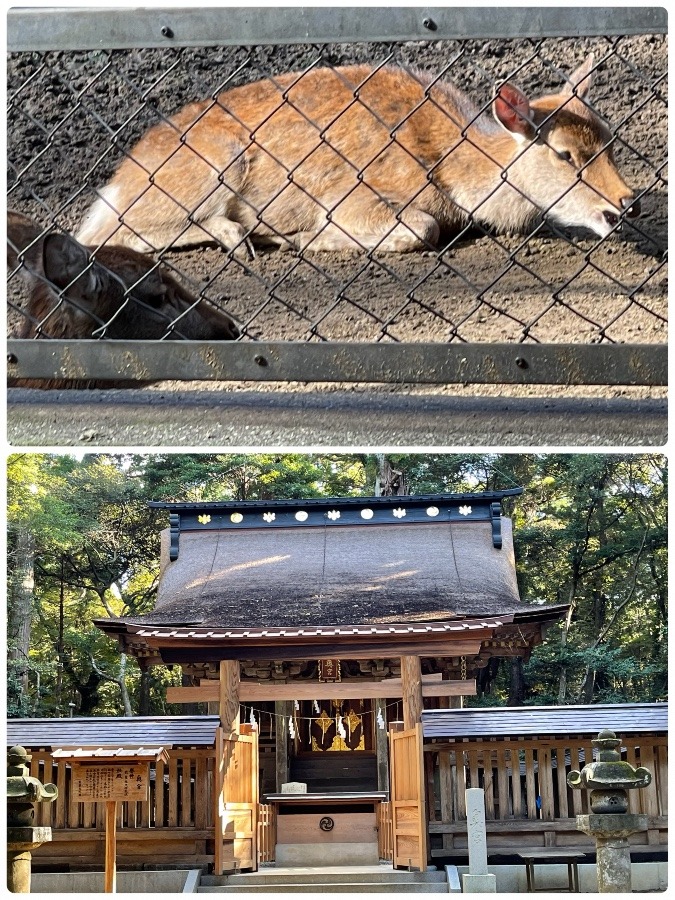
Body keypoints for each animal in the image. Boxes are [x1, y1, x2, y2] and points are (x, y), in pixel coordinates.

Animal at [76, 54, 640, 255]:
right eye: (565, 155)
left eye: (611, 140)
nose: (627, 201)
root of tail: (117, 180)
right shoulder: (352, 197)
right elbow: (423, 228)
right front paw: (305, 238)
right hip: (218, 163)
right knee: (101, 235)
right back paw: (243, 234)